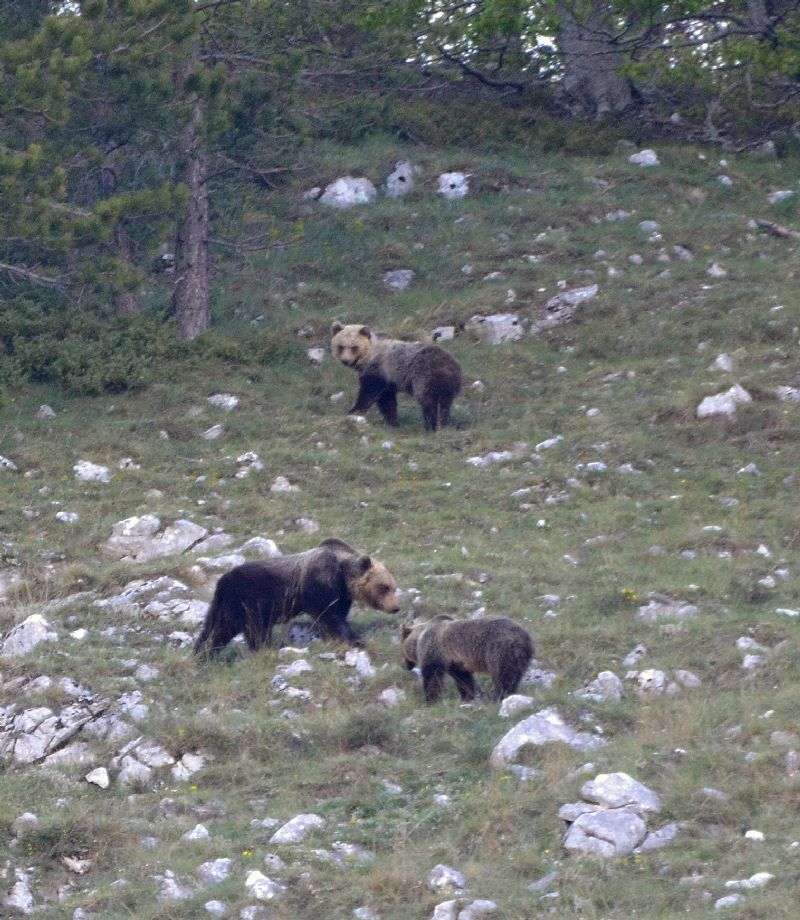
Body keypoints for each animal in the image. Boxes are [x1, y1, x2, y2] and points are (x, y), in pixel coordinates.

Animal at [194, 540, 400, 660]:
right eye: (384, 587)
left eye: (393, 586)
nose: (395, 607)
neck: (342, 576)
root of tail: (221, 581)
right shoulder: (318, 585)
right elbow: (330, 616)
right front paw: (355, 639)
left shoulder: (340, 596)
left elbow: (336, 615)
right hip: (250, 600)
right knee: (255, 630)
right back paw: (262, 649)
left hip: (227, 605)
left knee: (215, 629)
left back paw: (202, 654)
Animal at [330, 322, 462, 434]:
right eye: (341, 346)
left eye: (354, 347)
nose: (345, 360)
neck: (369, 356)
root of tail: (450, 365)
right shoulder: (388, 381)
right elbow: (387, 401)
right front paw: (392, 422)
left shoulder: (379, 370)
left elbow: (368, 392)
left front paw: (353, 411)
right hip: (447, 384)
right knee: (445, 404)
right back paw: (443, 423)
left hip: (424, 376)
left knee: (428, 401)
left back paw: (430, 426)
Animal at [404, 620, 536, 704]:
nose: (406, 665)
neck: (419, 638)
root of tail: (523, 637)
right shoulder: (455, 662)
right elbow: (463, 679)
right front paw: (467, 696)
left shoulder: (435, 652)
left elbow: (432, 677)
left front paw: (431, 699)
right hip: (521, 657)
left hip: (498, 650)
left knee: (503, 675)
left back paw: (500, 696)